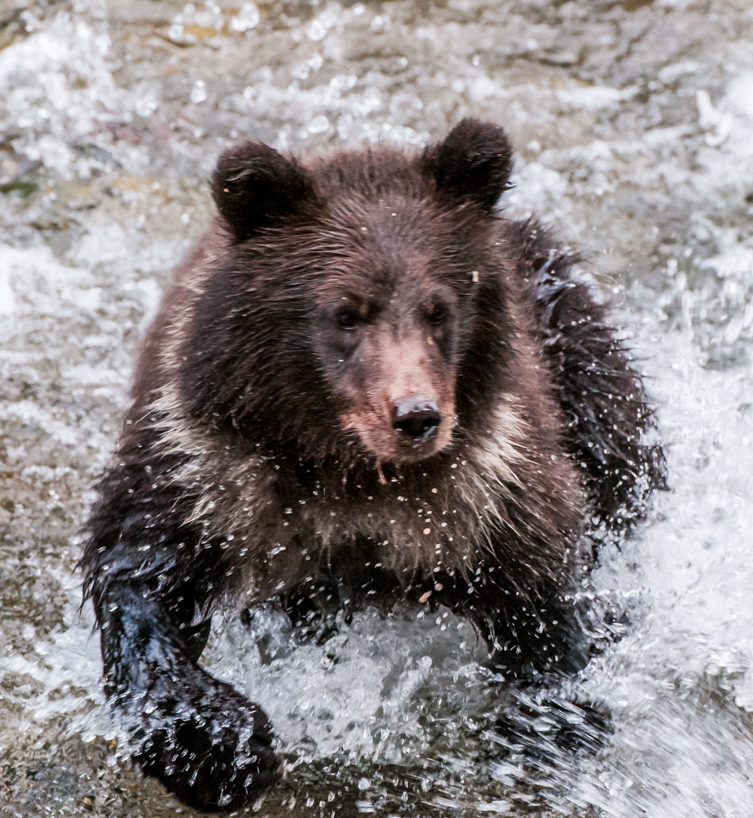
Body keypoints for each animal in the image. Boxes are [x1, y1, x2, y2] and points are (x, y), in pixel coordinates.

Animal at [82, 119, 664, 811]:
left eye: (439, 308)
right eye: (344, 312)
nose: (415, 415)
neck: (349, 472)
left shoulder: (493, 477)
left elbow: (542, 591)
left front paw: (550, 720)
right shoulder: (201, 464)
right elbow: (139, 568)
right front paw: (216, 746)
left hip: (576, 352)